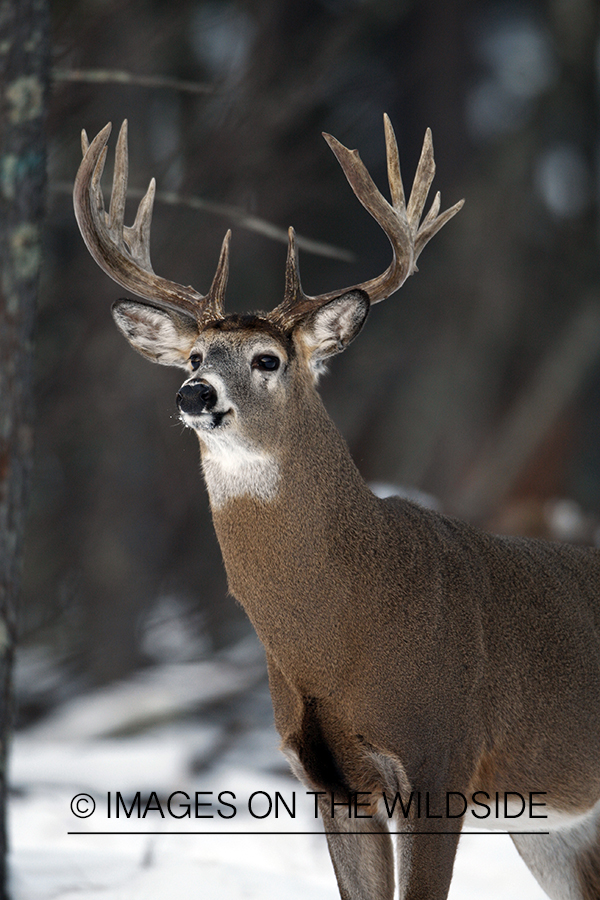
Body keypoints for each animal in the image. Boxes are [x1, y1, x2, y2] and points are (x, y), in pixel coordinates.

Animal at [75, 116, 600, 896]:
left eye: (267, 358)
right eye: (196, 356)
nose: (193, 394)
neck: (336, 632)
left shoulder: (440, 757)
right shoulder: (330, 783)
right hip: (555, 824)